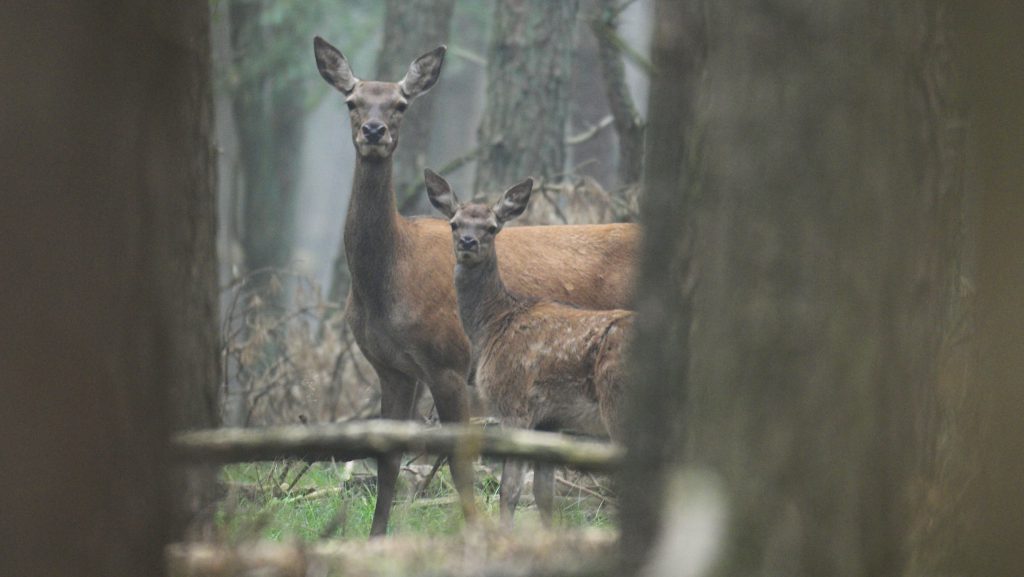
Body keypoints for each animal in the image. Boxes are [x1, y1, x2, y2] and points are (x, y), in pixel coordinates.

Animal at [425, 169, 630, 524]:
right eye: (454, 223)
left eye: (492, 227)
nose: (468, 243)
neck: (492, 325)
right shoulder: (549, 422)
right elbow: (543, 494)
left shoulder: (514, 405)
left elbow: (510, 491)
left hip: (617, 402)